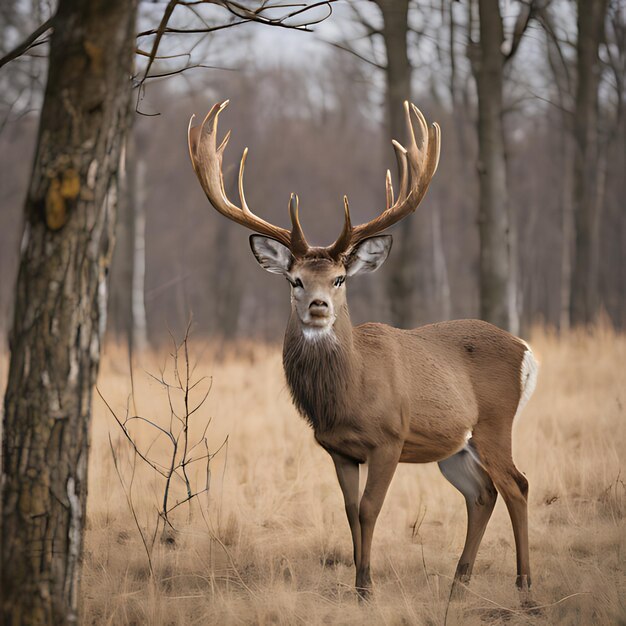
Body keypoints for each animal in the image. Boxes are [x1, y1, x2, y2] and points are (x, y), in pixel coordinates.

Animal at [185, 100, 536, 596]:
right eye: (294, 280)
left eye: (339, 279)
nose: (318, 306)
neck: (349, 392)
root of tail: (526, 351)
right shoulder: (338, 449)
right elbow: (351, 511)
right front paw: (359, 582)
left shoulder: (390, 438)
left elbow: (371, 508)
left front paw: (367, 588)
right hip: (455, 446)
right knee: (483, 492)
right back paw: (458, 584)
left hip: (495, 421)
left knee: (516, 485)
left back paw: (525, 587)